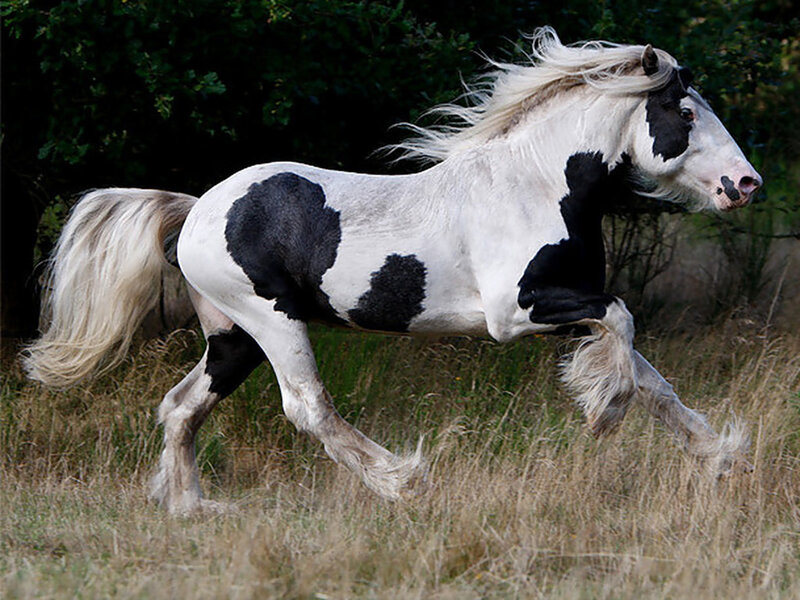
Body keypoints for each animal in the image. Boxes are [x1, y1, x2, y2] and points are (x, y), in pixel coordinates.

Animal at [24, 28, 762, 514]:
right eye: (684, 111)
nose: (745, 183)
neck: (535, 184)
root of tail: (198, 207)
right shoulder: (517, 310)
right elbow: (623, 323)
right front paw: (604, 412)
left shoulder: (565, 307)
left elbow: (649, 376)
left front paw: (721, 458)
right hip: (271, 319)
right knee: (306, 406)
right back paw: (405, 480)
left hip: (233, 338)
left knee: (180, 408)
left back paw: (193, 510)